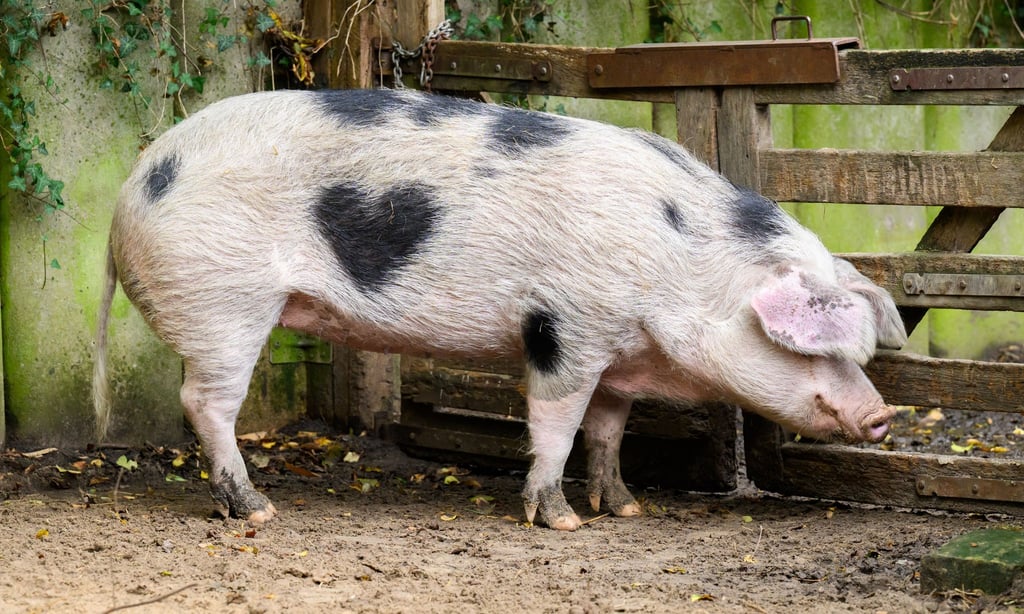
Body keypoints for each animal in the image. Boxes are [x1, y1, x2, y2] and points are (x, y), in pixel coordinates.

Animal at [93, 88, 907, 531]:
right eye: (816, 347)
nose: (882, 415)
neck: (681, 265)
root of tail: (131, 188)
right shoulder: (565, 327)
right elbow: (555, 425)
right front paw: (563, 522)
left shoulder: (616, 353)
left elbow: (607, 431)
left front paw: (625, 508)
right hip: (224, 303)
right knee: (205, 403)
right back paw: (256, 509)